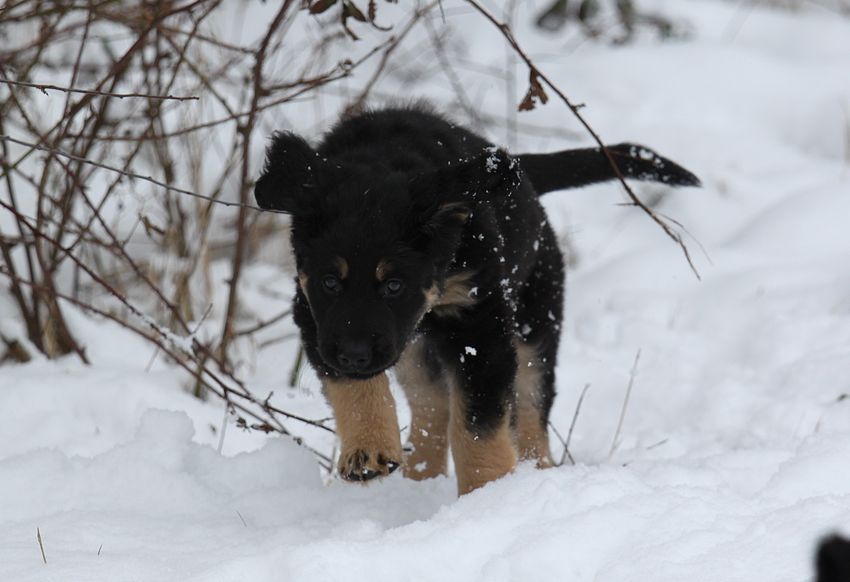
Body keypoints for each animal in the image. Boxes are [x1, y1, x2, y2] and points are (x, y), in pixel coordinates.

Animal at [254, 104, 699, 494]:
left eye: (394, 285)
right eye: (330, 282)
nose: (355, 354)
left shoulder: (479, 325)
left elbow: (476, 425)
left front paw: (486, 494)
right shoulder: (314, 316)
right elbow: (354, 387)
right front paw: (368, 450)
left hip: (534, 323)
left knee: (531, 408)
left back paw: (536, 474)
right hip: (413, 347)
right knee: (432, 405)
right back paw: (420, 478)